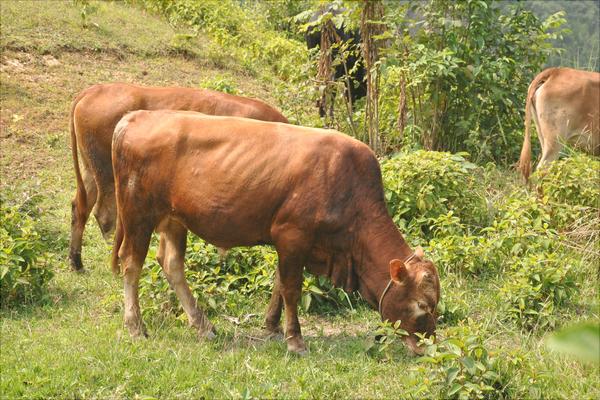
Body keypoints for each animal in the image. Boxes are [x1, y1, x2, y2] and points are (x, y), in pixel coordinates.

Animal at [68, 83, 288, 270]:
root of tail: (93, 90)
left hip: (90, 170)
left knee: (80, 206)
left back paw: (76, 261)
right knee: (105, 215)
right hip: (107, 176)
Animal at [111, 109, 440, 354]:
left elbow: (279, 284)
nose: (428, 347)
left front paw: (271, 327)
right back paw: (136, 326)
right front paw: (295, 340)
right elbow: (292, 288)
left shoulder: (293, 243)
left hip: (173, 220)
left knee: (171, 264)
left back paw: (203, 325)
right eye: (423, 305)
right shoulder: (293, 235)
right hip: (138, 215)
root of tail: (135, 117)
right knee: (132, 263)